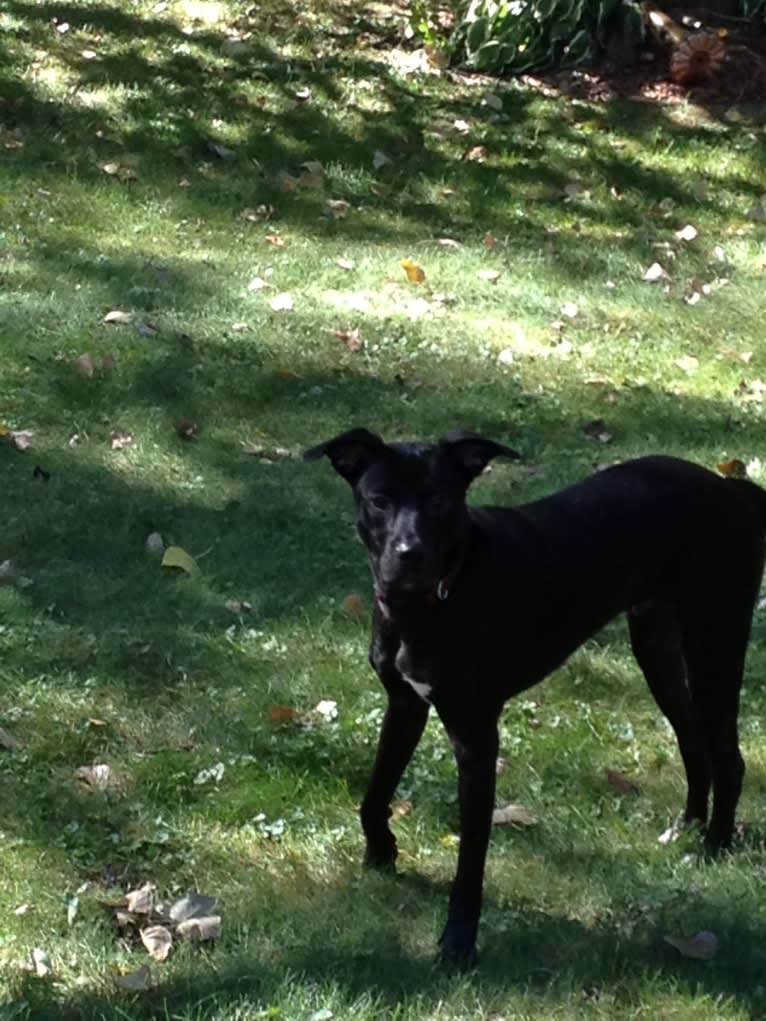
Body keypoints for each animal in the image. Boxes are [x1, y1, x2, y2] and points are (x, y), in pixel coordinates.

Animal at [306, 428, 766, 963]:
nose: (409, 553)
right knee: (693, 741)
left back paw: (713, 846)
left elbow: (472, 856)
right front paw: (381, 852)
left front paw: (458, 943)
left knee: (728, 757)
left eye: (439, 500)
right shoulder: (405, 704)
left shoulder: (476, 737)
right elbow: (375, 791)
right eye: (379, 500)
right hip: (657, 646)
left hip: (715, 644)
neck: (437, 596)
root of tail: (730, 489)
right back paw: (686, 827)